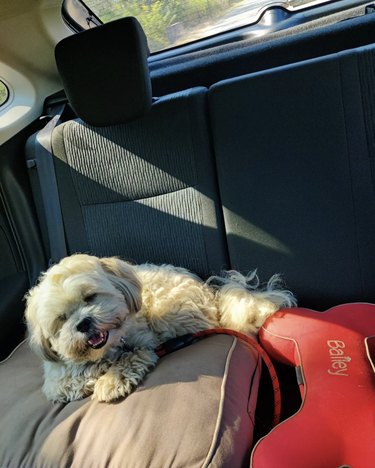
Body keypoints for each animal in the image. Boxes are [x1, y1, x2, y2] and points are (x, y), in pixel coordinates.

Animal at [25, 254, 296, 404]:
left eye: (90, 297)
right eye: (62, 318)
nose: (83, 323)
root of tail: (212, 294)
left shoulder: (142, 342)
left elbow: (130, 357)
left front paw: (110, 381)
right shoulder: (56, 380)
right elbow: (68, 383)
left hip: (167, 310)